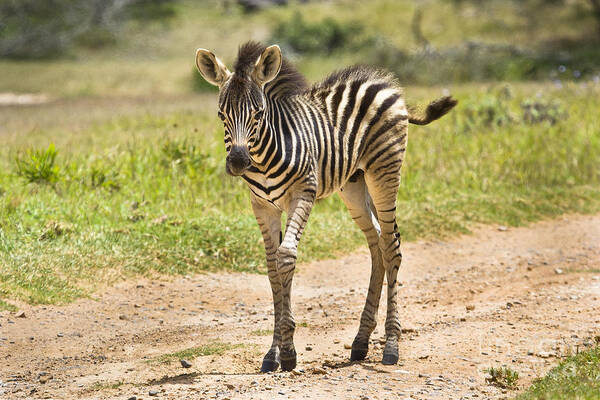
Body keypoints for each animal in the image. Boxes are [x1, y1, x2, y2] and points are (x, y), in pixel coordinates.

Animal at [195, 41, 458, 372]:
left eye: (258, 114)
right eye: (221, 115)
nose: (239, 162)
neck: (265, 155)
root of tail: (385, 83)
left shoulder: (303, 193)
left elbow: (286, 257)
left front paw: (288, 352)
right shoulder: (263, 206)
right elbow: (272, 267)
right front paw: (273, 354)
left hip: (385, 172)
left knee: (392, 246)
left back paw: (391, 346)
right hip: (354, 185)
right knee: (377, 244)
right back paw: (360, 341)